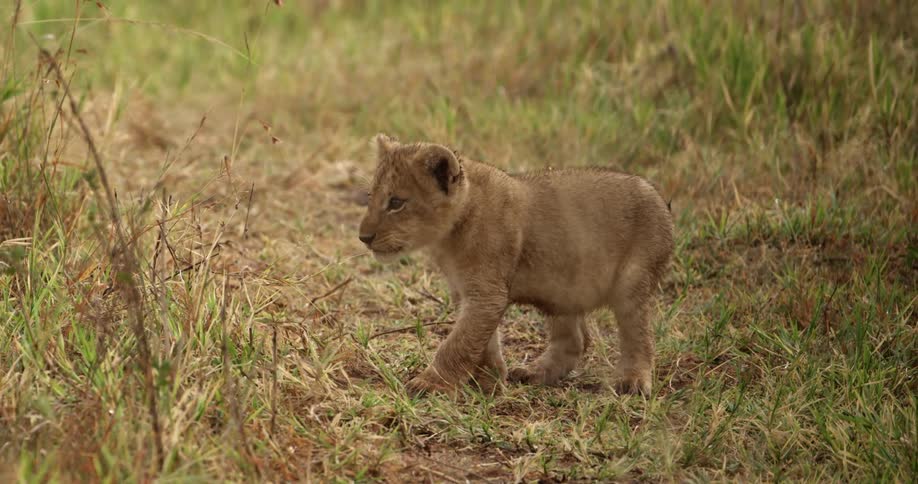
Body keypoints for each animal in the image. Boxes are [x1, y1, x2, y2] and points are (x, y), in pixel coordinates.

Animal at [358, 134, 673, 396]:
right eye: (371, 197)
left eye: (396, 202)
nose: (363, 237)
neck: (450, 235)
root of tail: (657, 194)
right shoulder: (468, 292)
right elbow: (481, 340)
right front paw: (490, 379)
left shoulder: (487, 293)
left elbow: (458, 343)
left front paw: (431, 383)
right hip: (564, 289)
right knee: (575, 341)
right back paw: (535, 373)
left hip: (633, 279)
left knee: (637, 334)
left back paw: (633, 381)